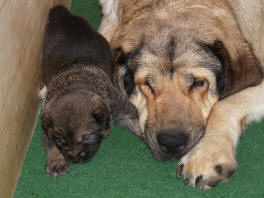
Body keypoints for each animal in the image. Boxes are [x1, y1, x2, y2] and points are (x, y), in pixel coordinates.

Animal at [40, 5, 139, 176]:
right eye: (62, 141)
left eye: (86, 137)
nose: (75, 159)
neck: (77, 86)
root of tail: (64, 16)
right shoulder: (47, 122)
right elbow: (49, 141)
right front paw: (56, 160)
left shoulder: (118, 106)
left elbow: (135, 120)